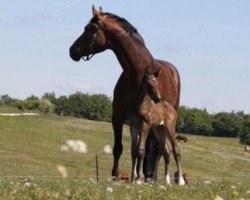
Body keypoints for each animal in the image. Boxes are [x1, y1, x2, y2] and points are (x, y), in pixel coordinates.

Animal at [69, 5, 185, 184]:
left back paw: (152, 177)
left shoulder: (143, 120)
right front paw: (117, 176)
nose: (72, 51)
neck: (135, 75)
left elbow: (141, 150)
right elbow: (119, 148)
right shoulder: (119, 117)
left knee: (159, 150)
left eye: (90, 29)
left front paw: (137, 177)